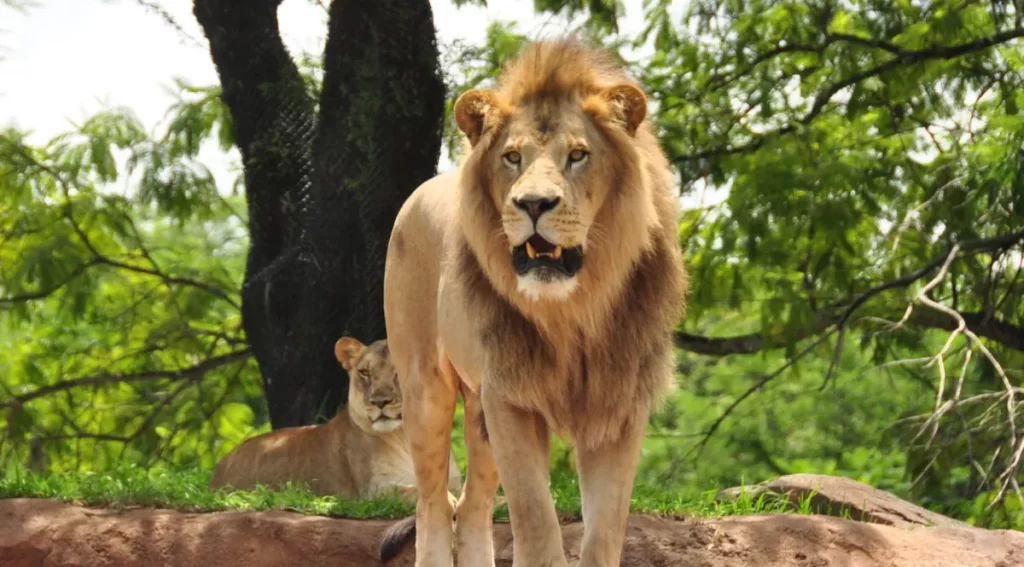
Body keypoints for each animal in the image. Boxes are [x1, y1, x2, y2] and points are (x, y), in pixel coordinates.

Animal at [208, 337, 462, 503]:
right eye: (365, 373)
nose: (379, 401)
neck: (406, 437)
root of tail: (219, 467)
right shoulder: (372, 491)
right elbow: (414, 491)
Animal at [381, 37, 687, 567]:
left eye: (579, 155)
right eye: (511, 158)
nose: (534, 204)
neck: (572, 310)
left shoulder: (621, 403)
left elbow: (605, 530)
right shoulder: (509, 397)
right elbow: (536, 520)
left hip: (478, 413)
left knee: (474, 508)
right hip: (427, 387)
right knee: (434, 502)